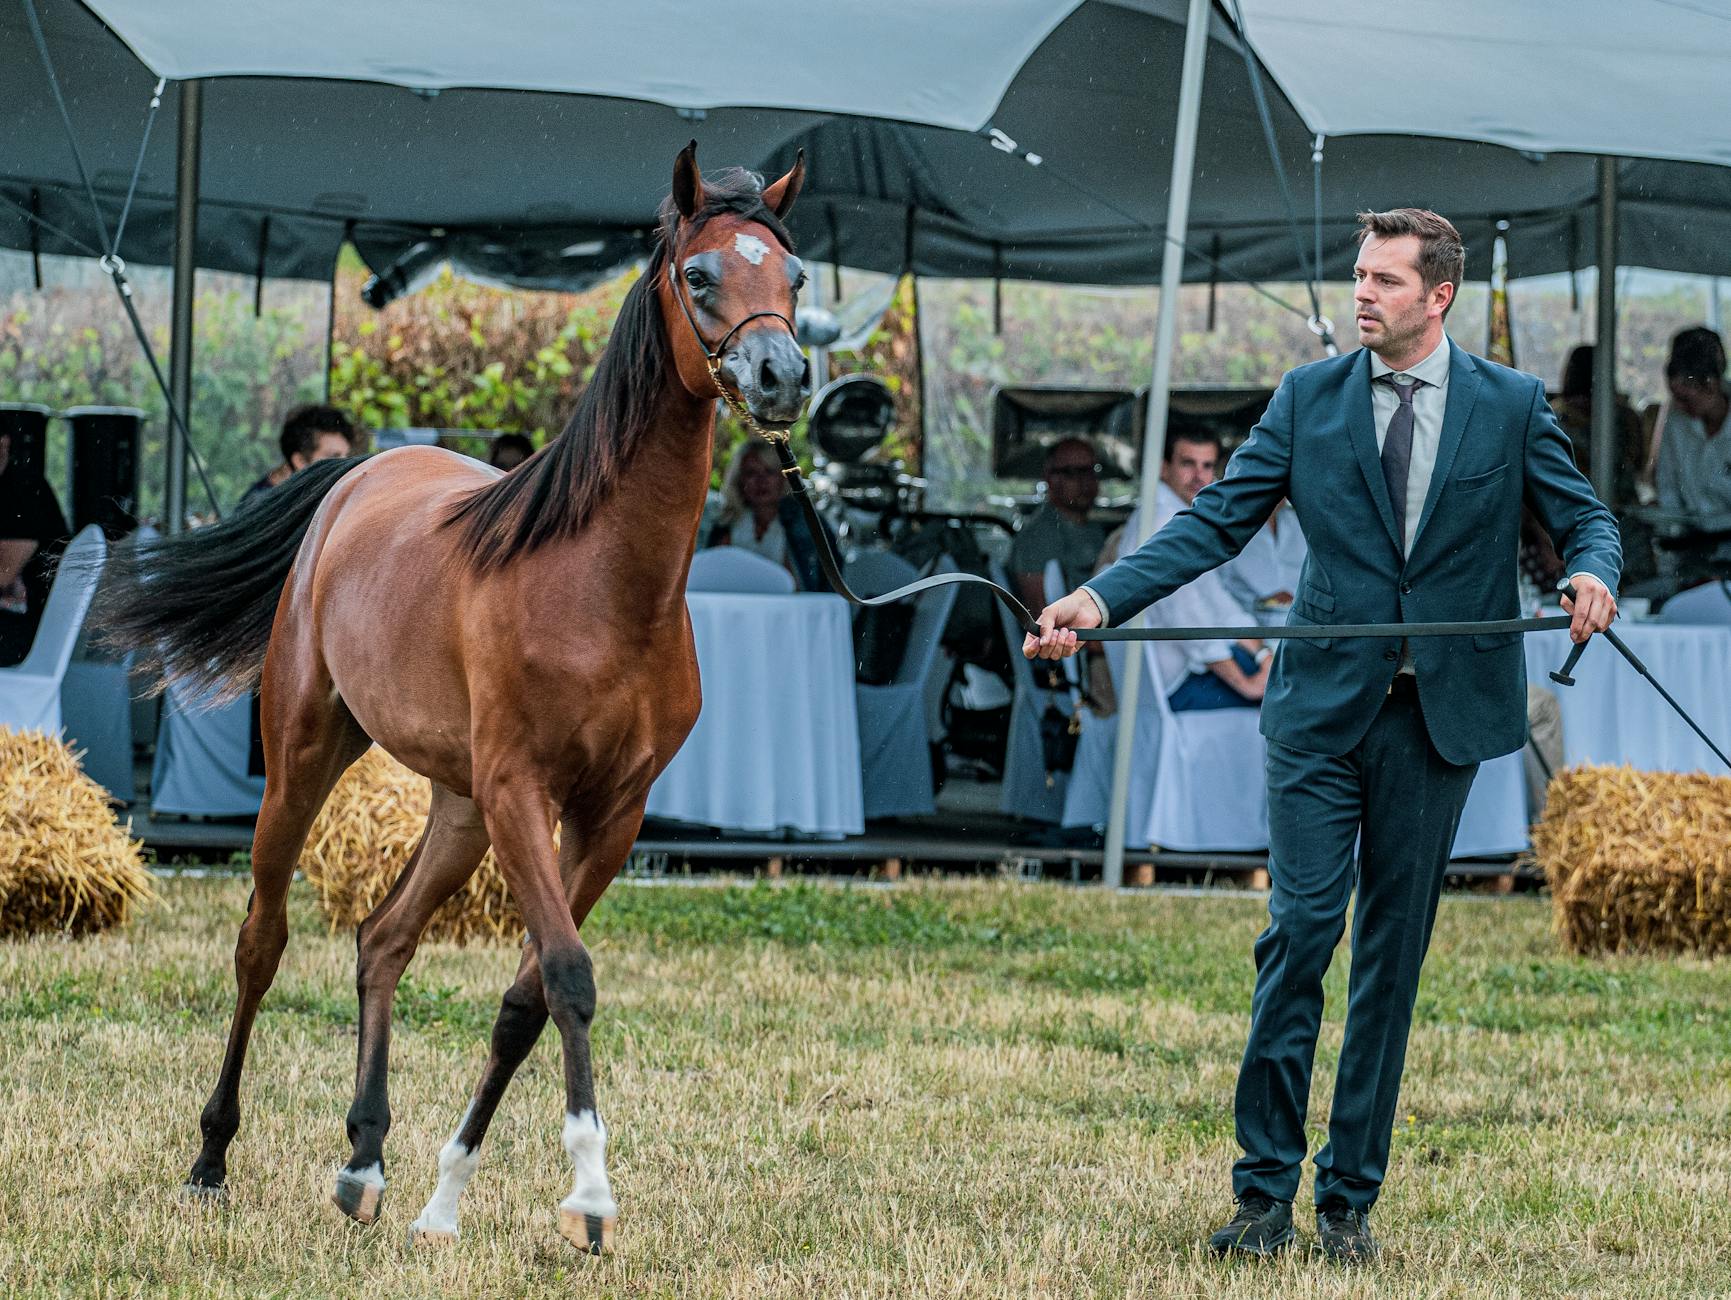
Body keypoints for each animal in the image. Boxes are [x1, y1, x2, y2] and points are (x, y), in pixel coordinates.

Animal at [96, 143, 811, 1253]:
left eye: (798, 276)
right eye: (698, 274)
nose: (781, 375)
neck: (602, 585)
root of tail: (358, 474)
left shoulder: (611, 813)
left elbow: (526, 995)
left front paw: (445, 1199)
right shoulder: (523, 791)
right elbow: (568, 975)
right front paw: (589, 1194)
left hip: (458, 809)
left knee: (381, 937)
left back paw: (364, 1163)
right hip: (306, 757)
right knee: (262, 941)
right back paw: (211, 1159)